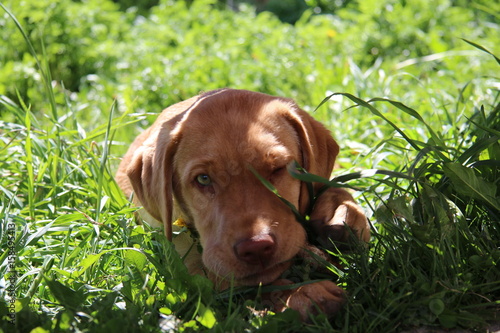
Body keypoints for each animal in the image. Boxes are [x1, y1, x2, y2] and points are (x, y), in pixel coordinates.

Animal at [115, 88, 370, 320]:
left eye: (278, 169)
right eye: (203, 179)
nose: (256, 248)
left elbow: (330, 185)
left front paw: (340, 215)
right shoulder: (190, 268)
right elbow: (243, 285)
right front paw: (300, 294)